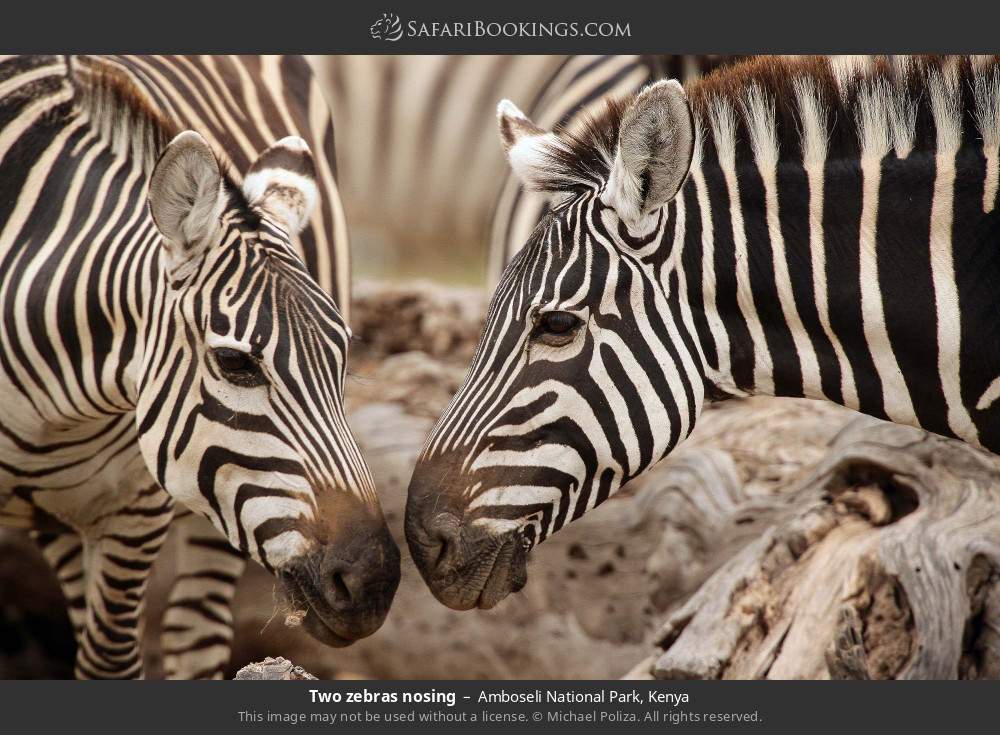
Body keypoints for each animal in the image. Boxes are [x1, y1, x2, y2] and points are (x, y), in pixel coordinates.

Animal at [0, 55, 400, 678]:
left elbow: (110, 659)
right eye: (234, 362)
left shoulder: (135, 512)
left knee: (195, 631)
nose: (371, 584)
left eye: (342, 358)